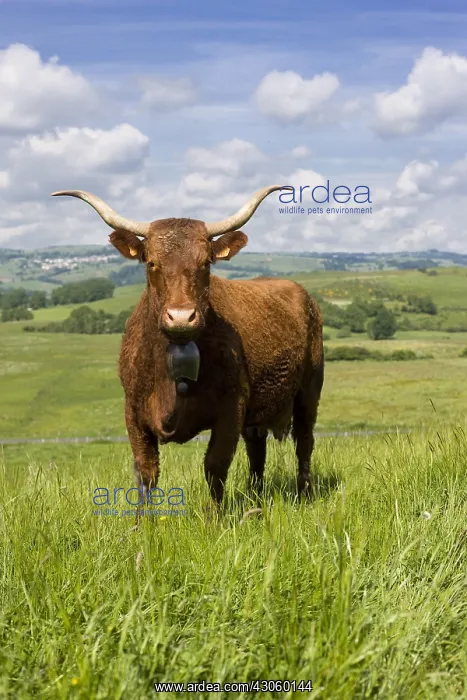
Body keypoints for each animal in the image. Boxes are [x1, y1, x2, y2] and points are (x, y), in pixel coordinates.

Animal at [51, 186, 324, 514]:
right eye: (151, 263)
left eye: (205, 263)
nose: (181, 317)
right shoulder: (133, 410)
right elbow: (146, 471)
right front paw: (143, 523)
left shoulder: (231, 408)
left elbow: (215, 466)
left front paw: (215, 519)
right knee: (256, 449)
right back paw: (255, 500)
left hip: (309, 391)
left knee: (304, 442)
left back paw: (304, 495)